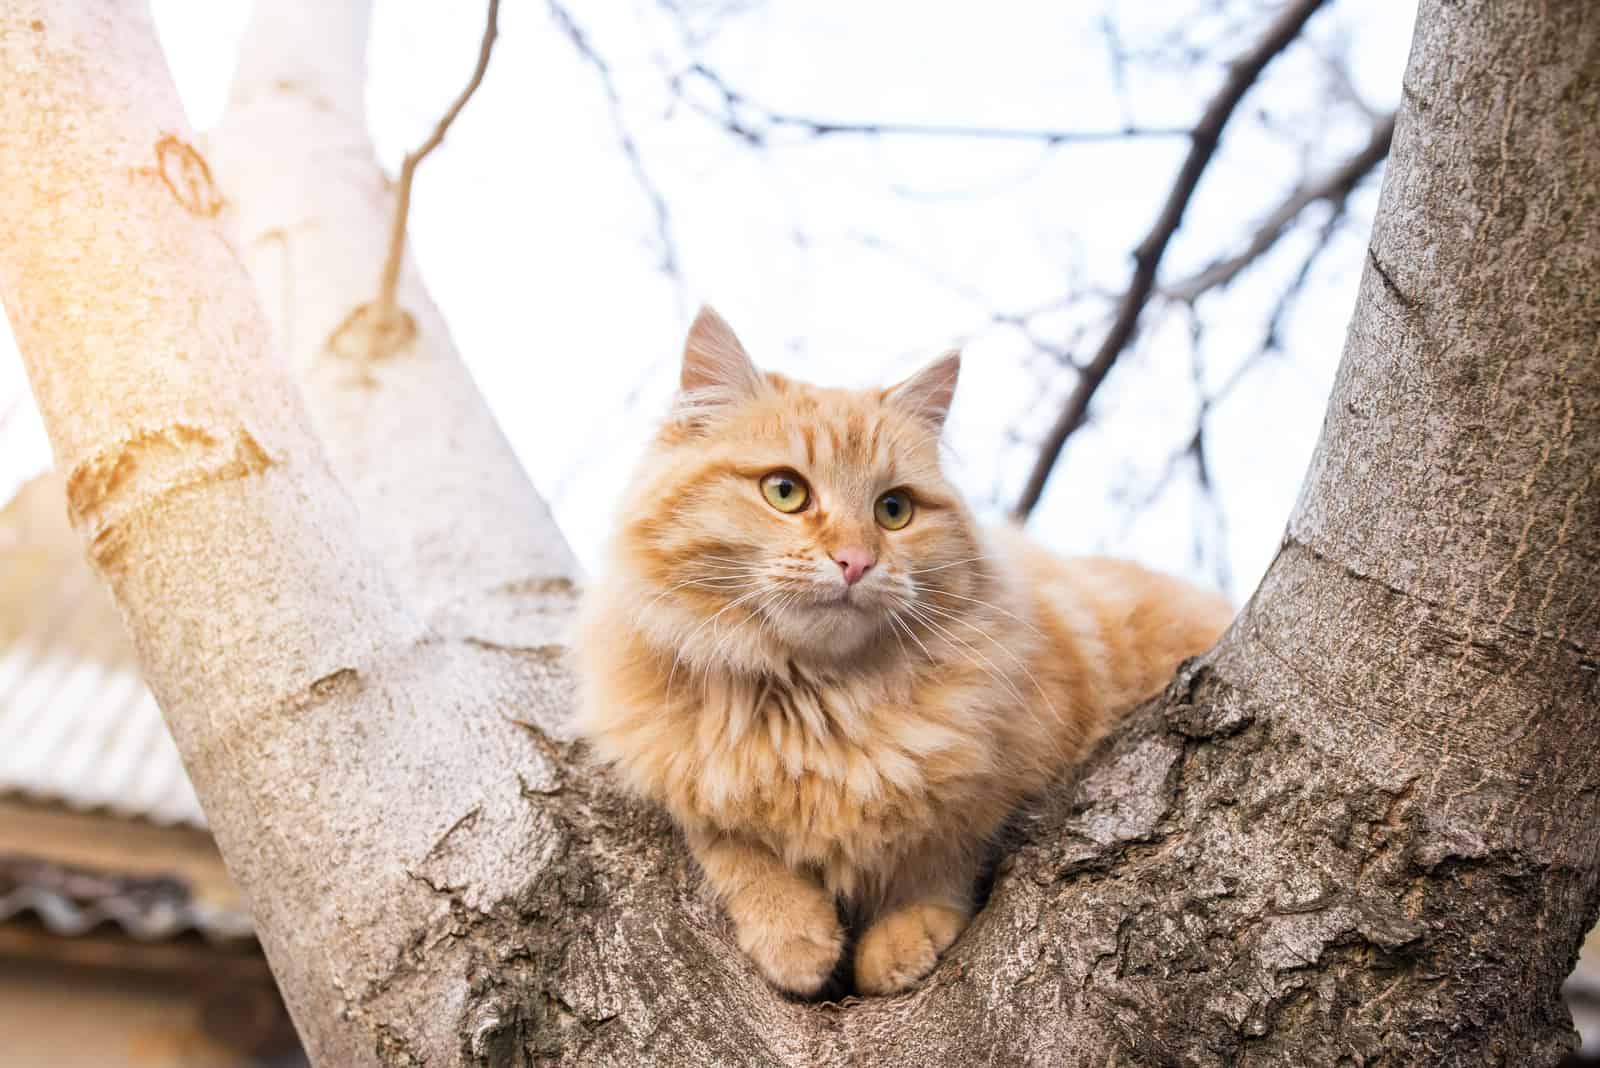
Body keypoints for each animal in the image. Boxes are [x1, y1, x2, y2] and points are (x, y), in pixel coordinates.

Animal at [579, 308, 1235, 1004]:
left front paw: (899, 939)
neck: (815, 703)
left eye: (893, 510)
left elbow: (939, 853)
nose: (855, 561)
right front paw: (794, 936)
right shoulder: (682, 775)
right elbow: (735, 844)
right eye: (785, 492)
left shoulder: (995, 779)